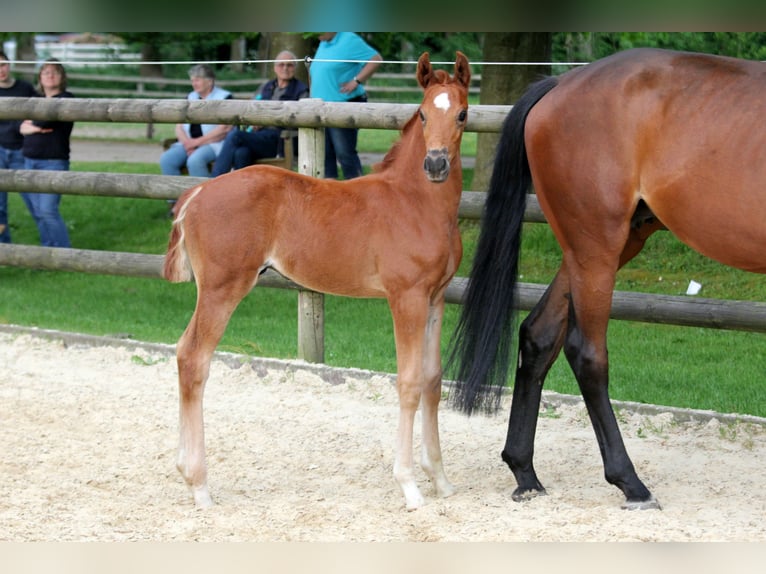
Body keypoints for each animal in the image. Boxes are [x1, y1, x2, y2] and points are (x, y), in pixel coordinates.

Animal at [165, 51, 472, 510]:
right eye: (421, 114)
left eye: (462, 114)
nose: (435, 164)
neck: (415, 202)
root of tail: (197, 194)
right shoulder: (407, 297)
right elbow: (409, 383)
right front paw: (410, 486)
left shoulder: (436, 298)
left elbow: (433, 381)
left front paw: (441, 479)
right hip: (222, 288)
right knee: (193, 358)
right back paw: (199, 484)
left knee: (185, 351)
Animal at [450, 47, 766, 510]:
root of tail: (561, 84)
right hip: (596, 248)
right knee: (587, 354)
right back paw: (630, 483)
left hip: (594, 249)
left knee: (539, 335)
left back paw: (525, 472)